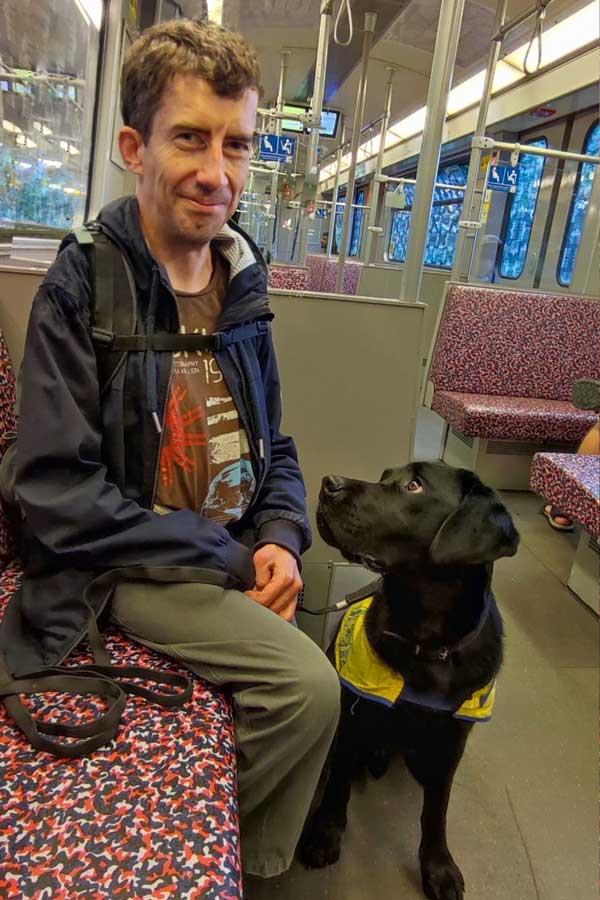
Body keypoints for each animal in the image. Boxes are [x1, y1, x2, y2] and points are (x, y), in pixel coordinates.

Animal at [300, 464, 520, 900]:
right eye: (386, 475)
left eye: (414, 485)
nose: (328, 483)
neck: (426, 645)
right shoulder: (355, 717)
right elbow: (338, 786)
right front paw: (326, 832)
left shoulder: (451, 744)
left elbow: (436, 811)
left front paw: (438, 866)